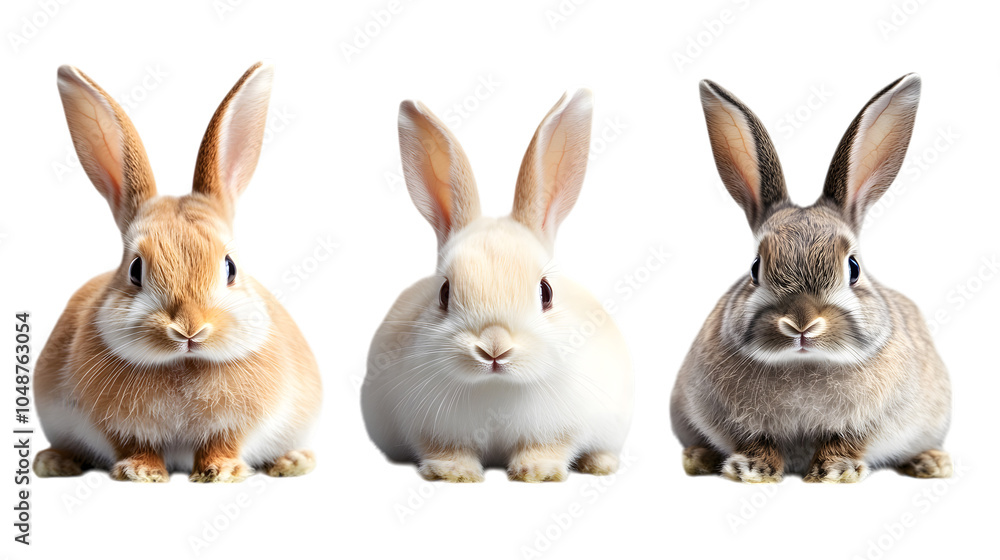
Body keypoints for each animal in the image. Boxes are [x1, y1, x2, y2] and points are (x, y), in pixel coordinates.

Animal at [32, 62, 322, 483]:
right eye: (135, 269)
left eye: (230, 267)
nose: (189, 329)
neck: (182, 364)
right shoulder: (118, 427)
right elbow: (135, 445)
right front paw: (141, 473)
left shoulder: (238, 424)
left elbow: (223, 442)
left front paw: (221, 472)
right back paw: (53, 462)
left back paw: (294, 461)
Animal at [361, 90, 633, 483]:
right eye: (444, 293)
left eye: (546, 292)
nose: (494, 348)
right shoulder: (431, 431)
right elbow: (445, 449)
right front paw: (453, 473)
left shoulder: (561, 429)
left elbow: (551, 446)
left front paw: (538, 472)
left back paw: (599, 465)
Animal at [670, 74, 952, 483]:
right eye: (755, 267)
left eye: (853, 267)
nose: (801, 324)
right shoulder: (726, 416)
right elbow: (755, 439)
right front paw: (750, 469)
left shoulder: (875, 420)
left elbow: (847, 440)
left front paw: (835, 471)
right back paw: (698, 458)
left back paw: (931, 463)